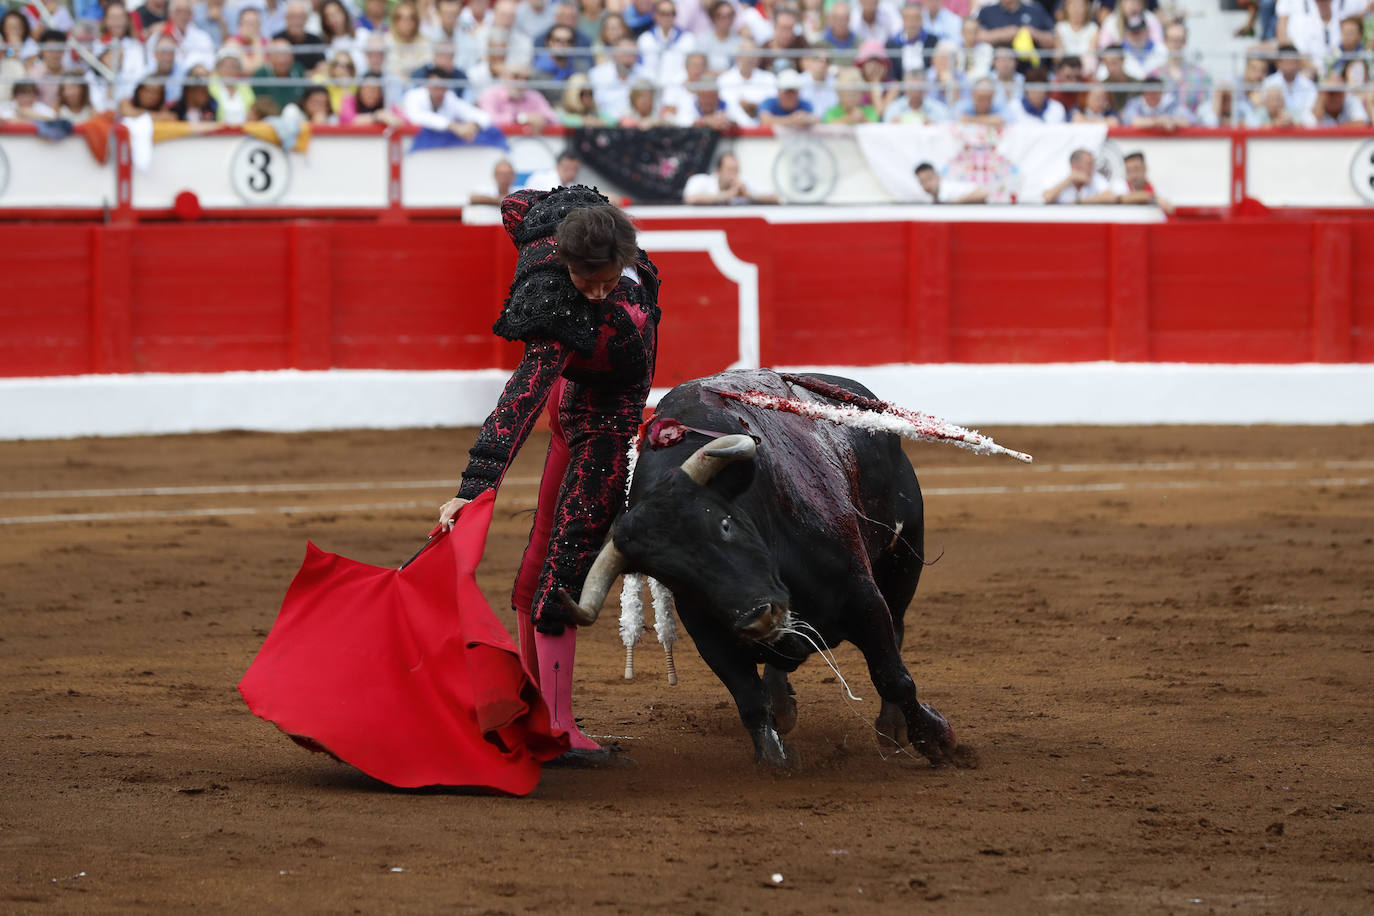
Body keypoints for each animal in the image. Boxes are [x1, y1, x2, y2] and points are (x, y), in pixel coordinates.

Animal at [563, 368, 961, 769]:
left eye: (725, 524)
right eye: (671, 577)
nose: (758, 616)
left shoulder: (862, 596)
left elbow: (892, 675)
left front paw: (936, 739)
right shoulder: (710, 635)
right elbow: (750, 700)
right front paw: (775, 759)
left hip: (903, 560)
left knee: (897, 628)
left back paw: (891, 728)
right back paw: (783, 703)